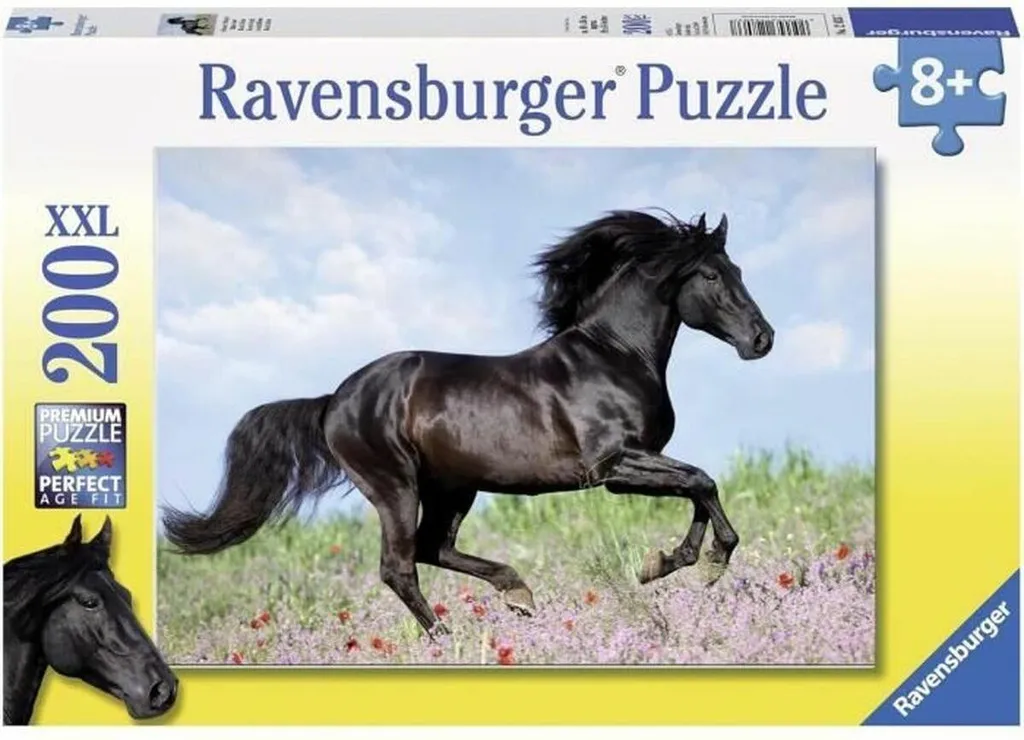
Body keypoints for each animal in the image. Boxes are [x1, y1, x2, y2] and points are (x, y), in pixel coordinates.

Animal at [161, 208, 774, 639]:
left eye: (738, 270)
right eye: (712, 276)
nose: (762, 339)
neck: (614, 354)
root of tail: (334, 399)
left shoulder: (637, 462)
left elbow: (697, 486)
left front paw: (669, 564)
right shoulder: (613, 467)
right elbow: (701, 481)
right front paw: (705, 563)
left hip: (454, 487)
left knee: (433, 548)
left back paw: (519, 594)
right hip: (395, 486)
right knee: (400, 565)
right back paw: (446, 636)